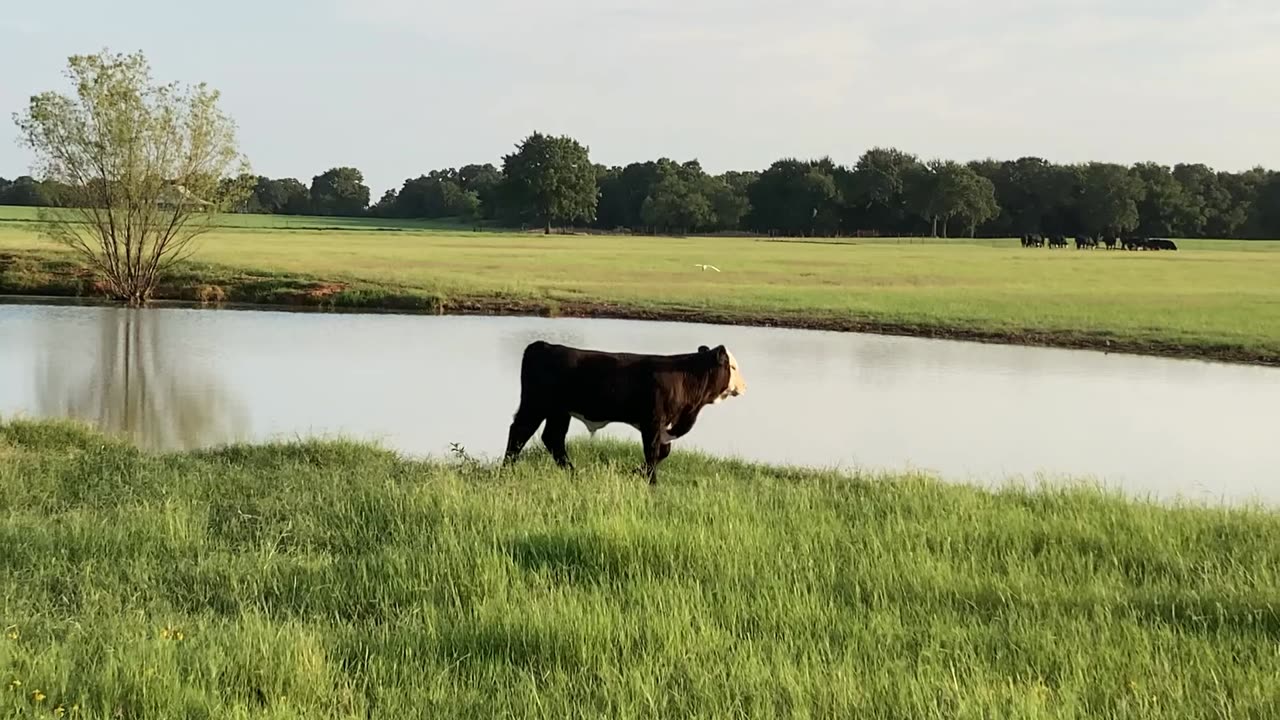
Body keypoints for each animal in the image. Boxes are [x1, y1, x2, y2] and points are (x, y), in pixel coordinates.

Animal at [499, 340, 742, 481]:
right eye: (732, 366)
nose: (743, 386)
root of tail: (543, 345)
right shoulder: (652, 421)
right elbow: (653, 452)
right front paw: (651, 482)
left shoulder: (662, 426)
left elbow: (663, 451)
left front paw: (635, 473)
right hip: (536, 405)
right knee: (519, 433)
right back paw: (505, 471)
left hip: (559, 411)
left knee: (552, 438)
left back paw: (573, 473)